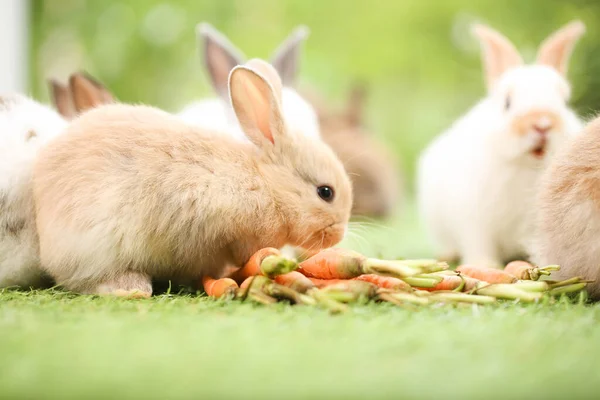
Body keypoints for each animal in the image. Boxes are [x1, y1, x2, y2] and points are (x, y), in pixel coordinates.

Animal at [418, 20, 584, 268]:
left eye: (563, 102)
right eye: (507, 103)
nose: (542, 124)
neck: (526, 166)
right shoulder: (475, 219)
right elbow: (480, 244)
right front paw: (483, 265)